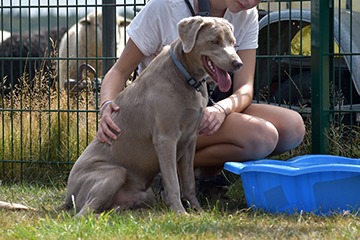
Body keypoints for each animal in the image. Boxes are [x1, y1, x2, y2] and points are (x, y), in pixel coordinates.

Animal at [62, 15, 242, 217]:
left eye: (233, 42)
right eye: (214, 41)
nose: (238, 64)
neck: (186, 76)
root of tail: (68, 195)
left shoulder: (190, 140)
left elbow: (188, 182)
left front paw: (198, 210)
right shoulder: (166, 139)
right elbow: (173, 183)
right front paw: (181, 213)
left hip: (144, 194)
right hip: (114, 173)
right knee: (83, 213)